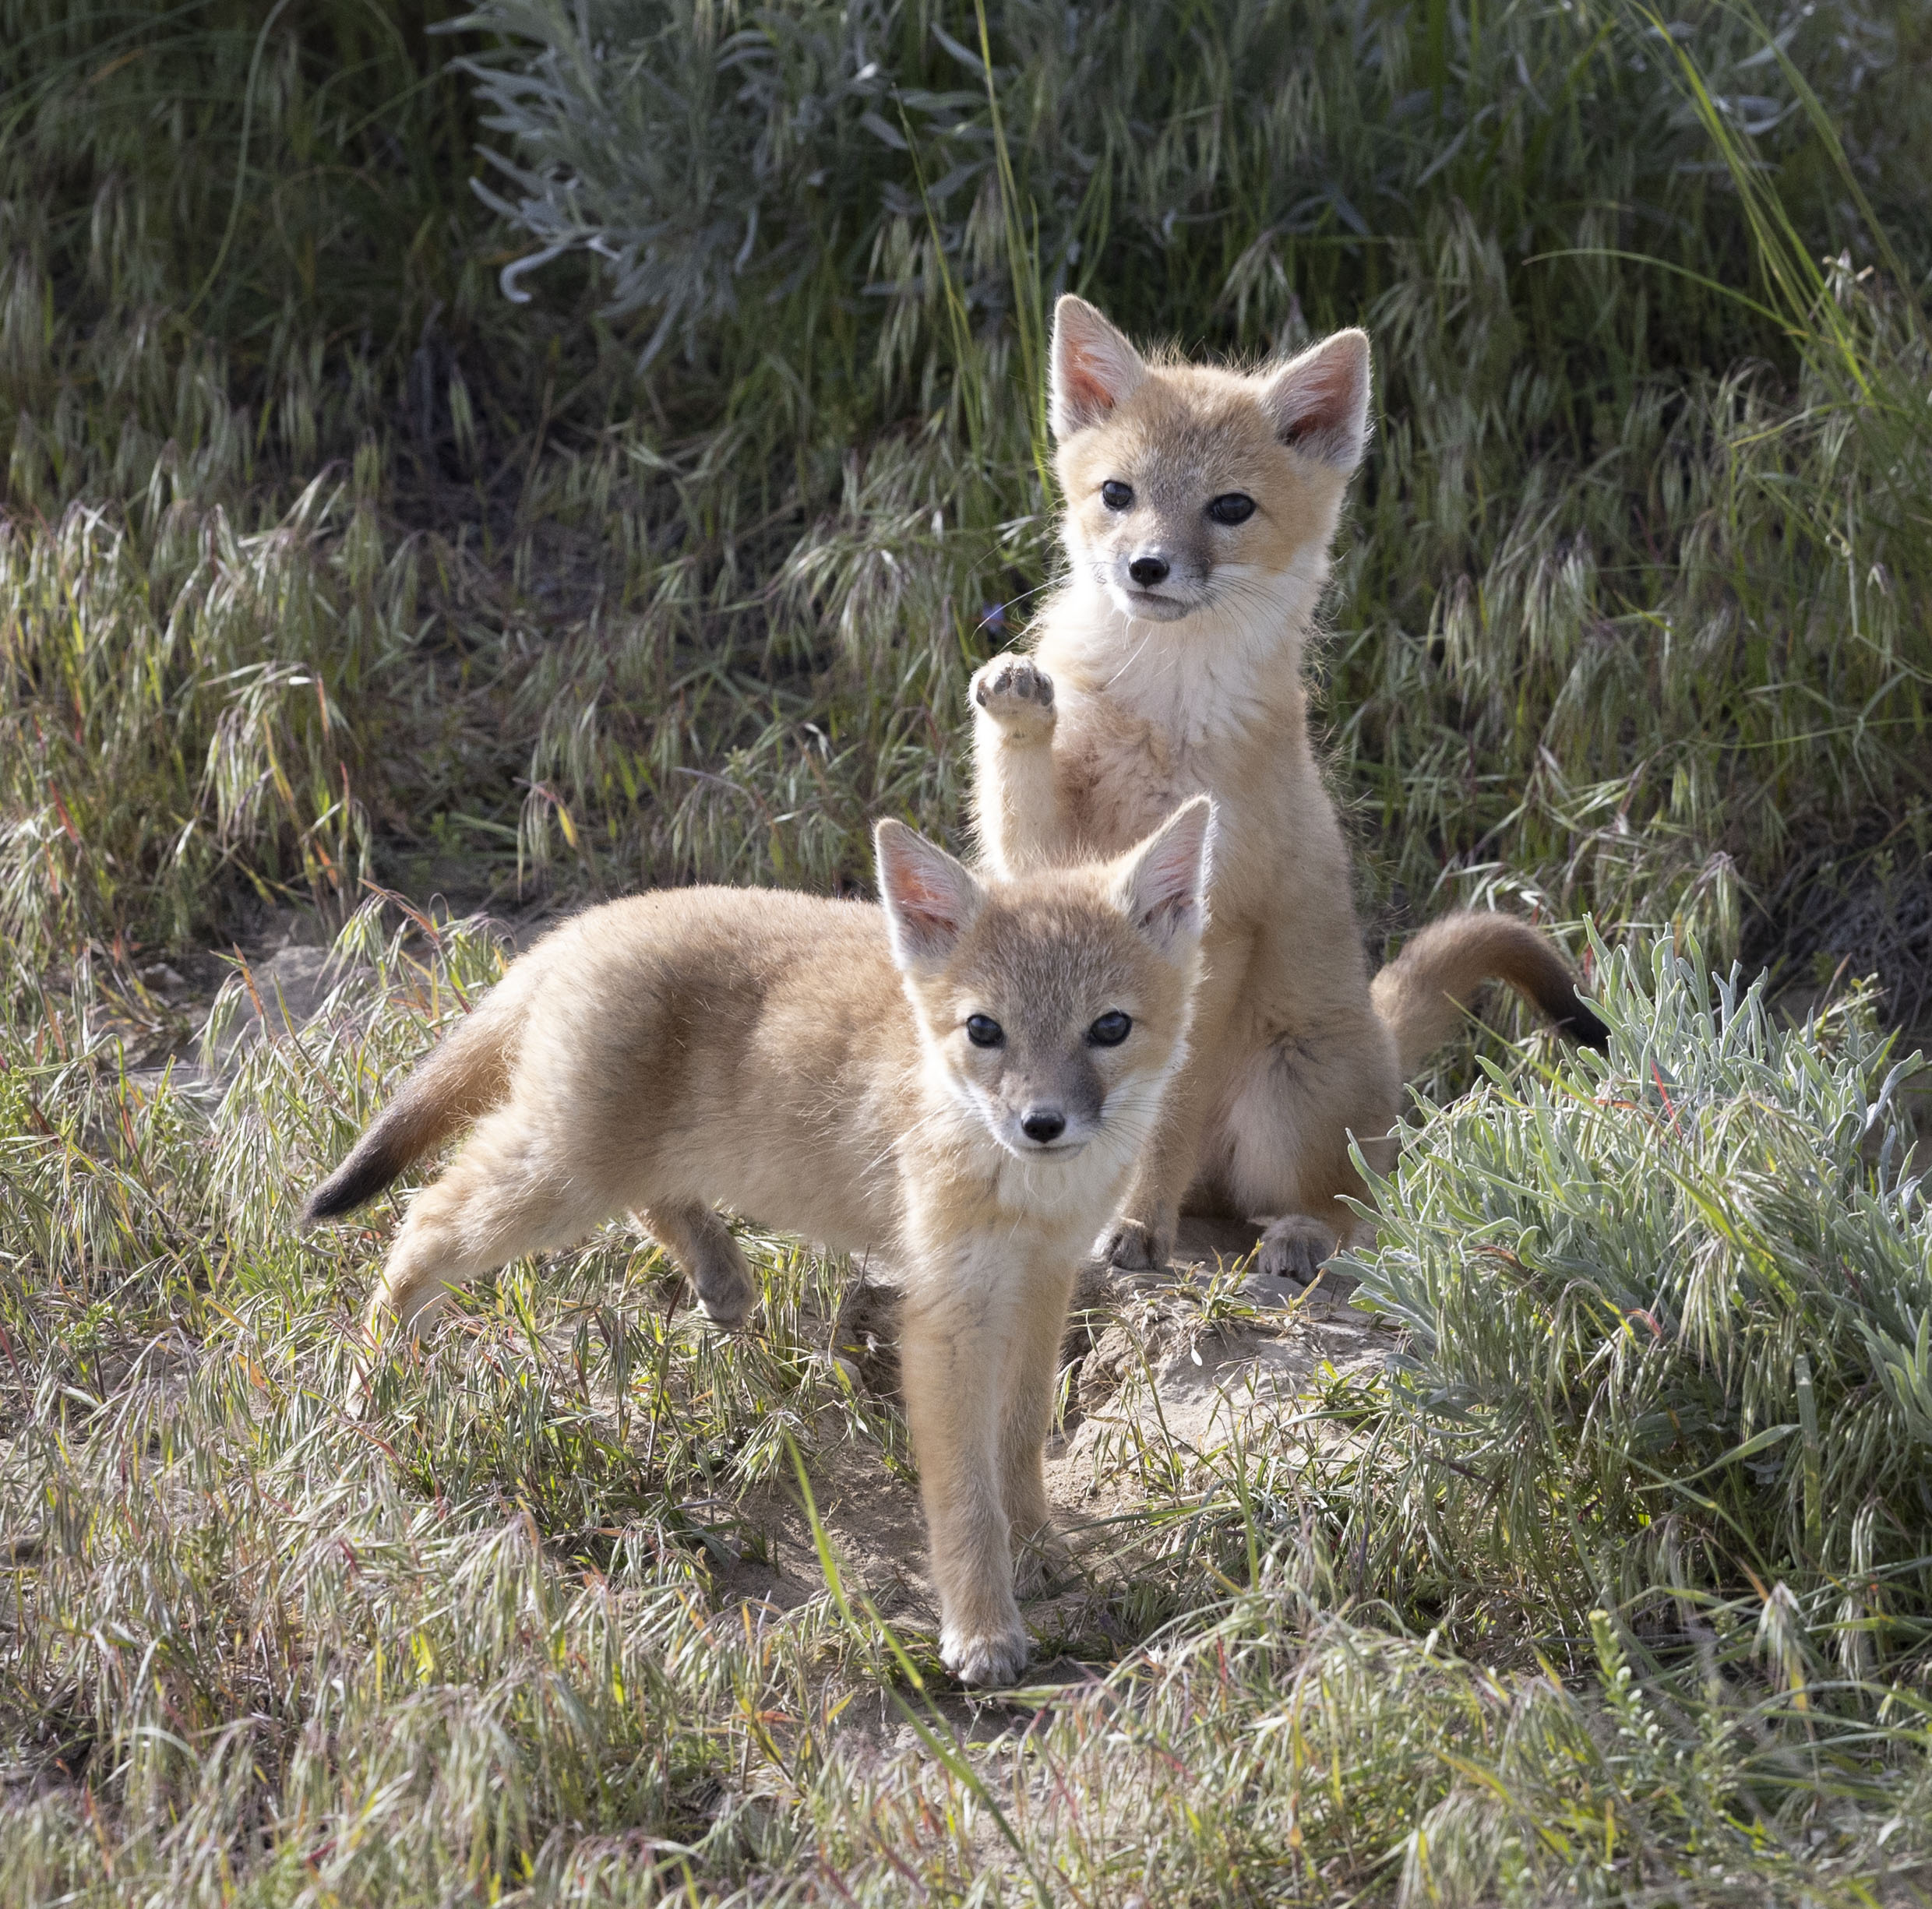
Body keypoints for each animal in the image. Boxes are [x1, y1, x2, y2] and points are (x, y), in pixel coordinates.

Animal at [300, 797, 1214, 1687]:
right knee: (422, 1225)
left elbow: (1019, 1444)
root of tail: (582, 925)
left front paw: (1035, 1550)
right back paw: (372, 1390)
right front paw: (982, 1627)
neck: (1030, 1197)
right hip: (556, 1181)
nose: (1041, 1124)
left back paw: (719, 1274)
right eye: (983, 1031)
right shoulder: (950, 1315)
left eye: (1109, 1027)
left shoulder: (1044, 1283)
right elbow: (964, 1492)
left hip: (606, 1167)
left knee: (643, 1200)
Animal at [969, 295, 1605, 1286]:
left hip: (1285, 1102)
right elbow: (1017, 778)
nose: (1145, 568)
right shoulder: (1042, 859)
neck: (1156, 719)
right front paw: (1020, 700)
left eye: (1228, 508)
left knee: (1352, 1206)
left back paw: (1295, 1237)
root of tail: (1376, 1034)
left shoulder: (1212, 924)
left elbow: (1166, 1121)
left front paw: (1136, 1225)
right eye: (1118, 494)